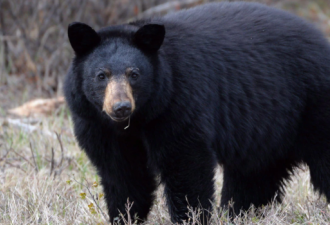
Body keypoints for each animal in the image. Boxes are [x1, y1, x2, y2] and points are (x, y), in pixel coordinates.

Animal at [64, 1, 330, 223]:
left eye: (134, 74)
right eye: (101, 75)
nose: (121, 107)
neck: (138, 120)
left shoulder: (178, 104)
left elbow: (186, 164)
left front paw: (189, 217)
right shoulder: (97, 126)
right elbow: (123, 175)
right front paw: (124, 216)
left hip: (312, 106)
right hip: (267, 131)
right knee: (254, 176)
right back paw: (240, 214)